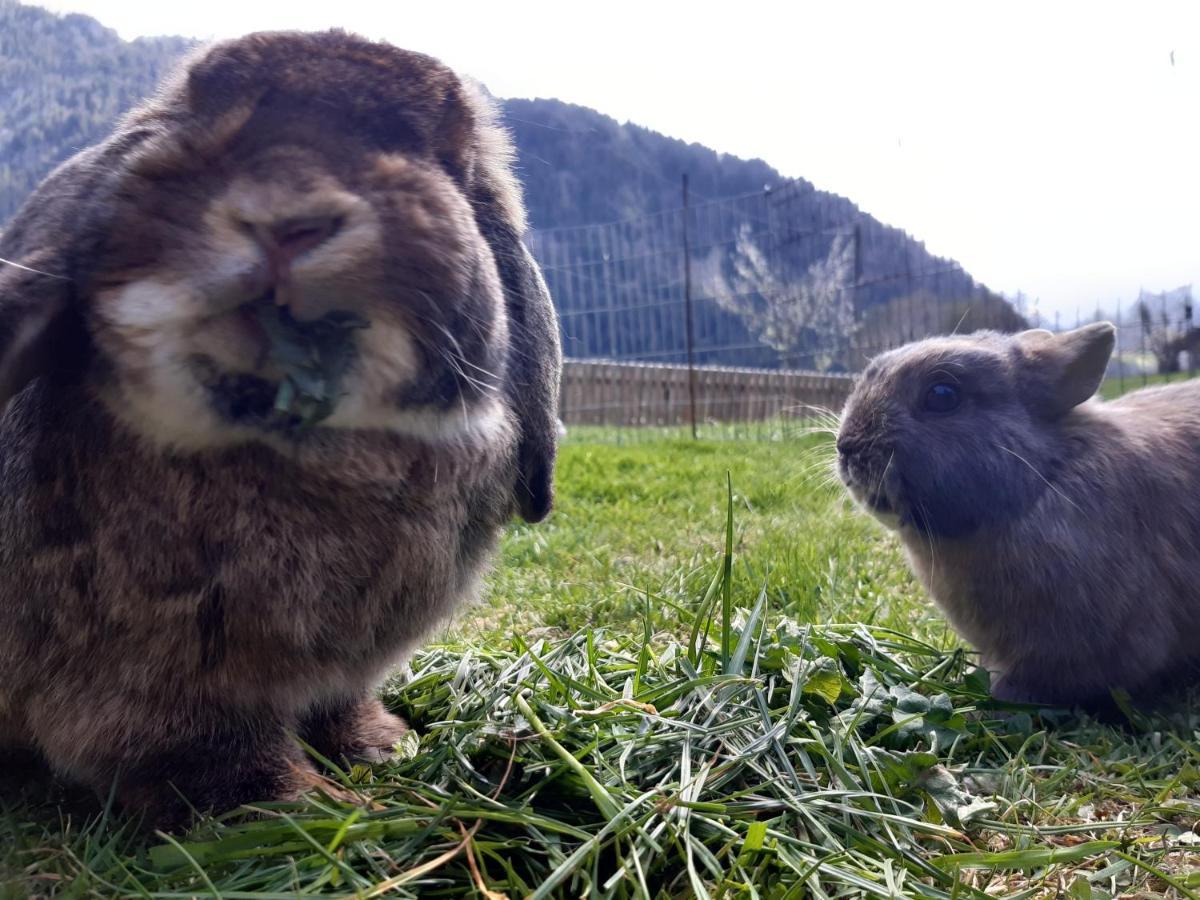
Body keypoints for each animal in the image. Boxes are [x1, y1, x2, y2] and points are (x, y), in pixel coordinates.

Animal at [0, 31, 561, 830]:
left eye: (424, 149)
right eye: (208, 126)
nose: (284, 219)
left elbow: (336, 704)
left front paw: (383, 746)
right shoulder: (163, 678)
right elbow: (205, 750)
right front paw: (302, 803)